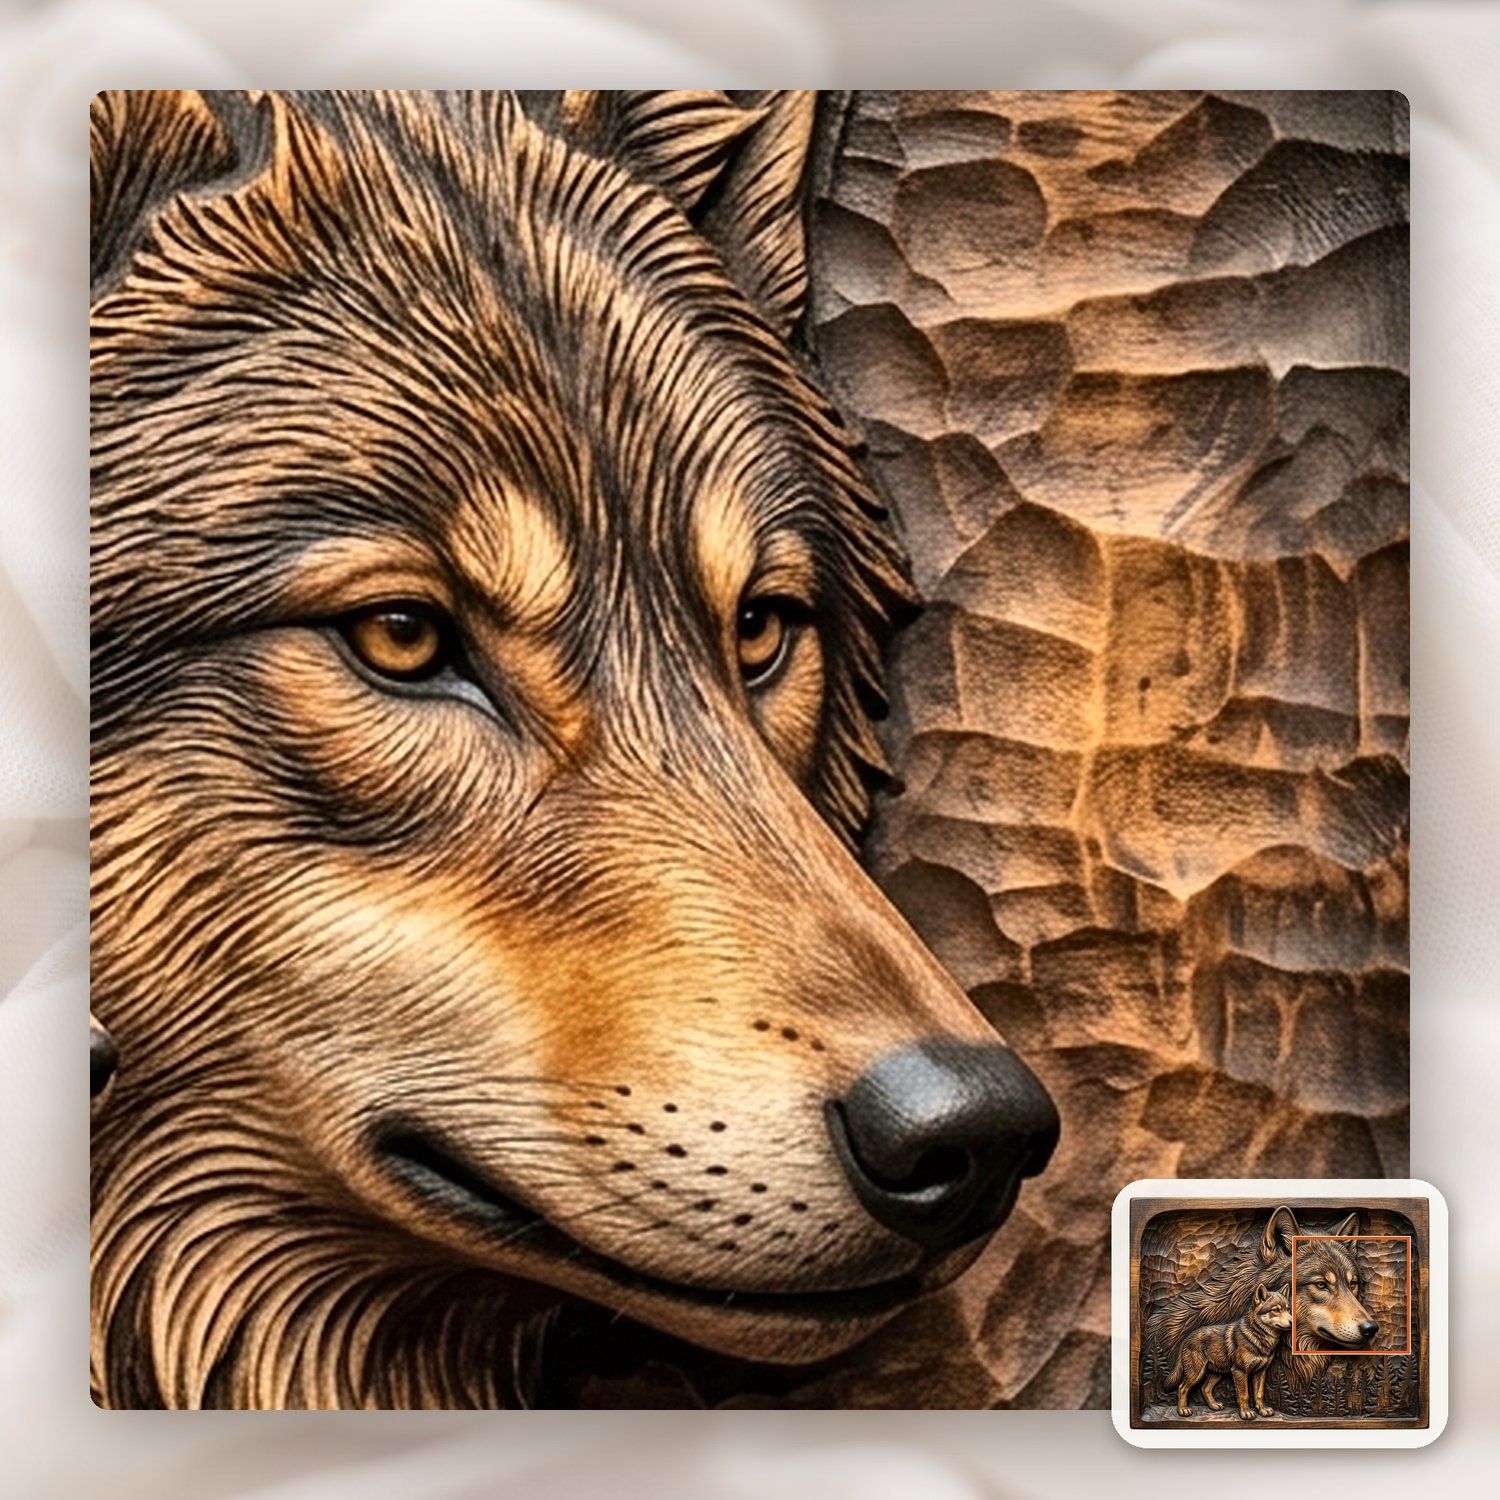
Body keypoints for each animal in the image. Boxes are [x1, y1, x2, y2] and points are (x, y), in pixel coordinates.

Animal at [1168, 1282, 1292, 1419]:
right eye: (1276, 1310)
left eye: (1288, 1309)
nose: (1292, 1322)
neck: (1257, 1337)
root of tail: (1186, 1338)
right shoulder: (1239, 1371)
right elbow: (1244, 1395)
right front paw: (1246, 1412)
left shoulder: (1260, 1372)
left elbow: (1259, 1393)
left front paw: (1262, 1409)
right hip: (1196, 1373)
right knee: (1182, 1388)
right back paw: (1183, 1410)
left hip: (1216, 1374)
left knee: (1205, 1388)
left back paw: (1214, 1406)